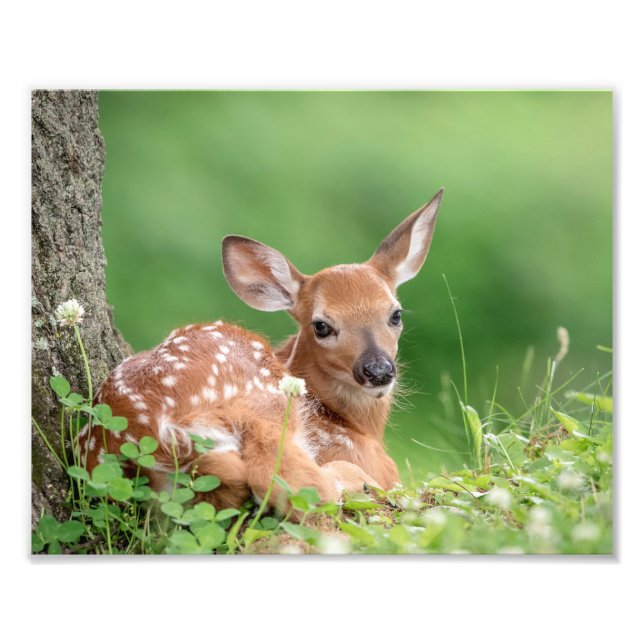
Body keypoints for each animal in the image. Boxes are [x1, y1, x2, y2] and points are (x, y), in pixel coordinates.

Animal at [79, 188, 444, 514]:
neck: (355, 425)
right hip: (265, 402)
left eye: (395, 314)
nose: (378, 370)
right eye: (321, 326)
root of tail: (156, 432)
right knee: (291, 482)